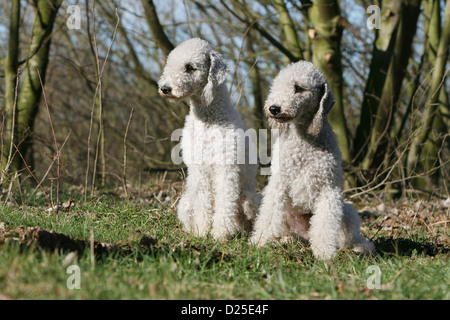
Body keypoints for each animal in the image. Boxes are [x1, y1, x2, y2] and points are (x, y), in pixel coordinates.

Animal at [158, 37, 258, 239]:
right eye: (170, 63)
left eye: (190, 67)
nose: (165, 88)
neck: (208, 119)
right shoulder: (199, 170)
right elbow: (203, 203)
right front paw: (201, 231)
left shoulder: (226, 167)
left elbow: (224, 203)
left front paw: (220, 234)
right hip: (185, 202)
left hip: (250, 198)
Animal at [251, 60, 374, 260]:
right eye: (276, 85)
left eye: (299, 88)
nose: (273, 108)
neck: (305, 138)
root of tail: (304, 236)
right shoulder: (279, 184)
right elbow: (268, 216)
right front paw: (259, 241)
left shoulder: (328, 189)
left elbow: (324, 225)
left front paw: (324, 254)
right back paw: (285, 240)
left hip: (346, 209)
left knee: (348, 237)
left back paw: (361, 247)